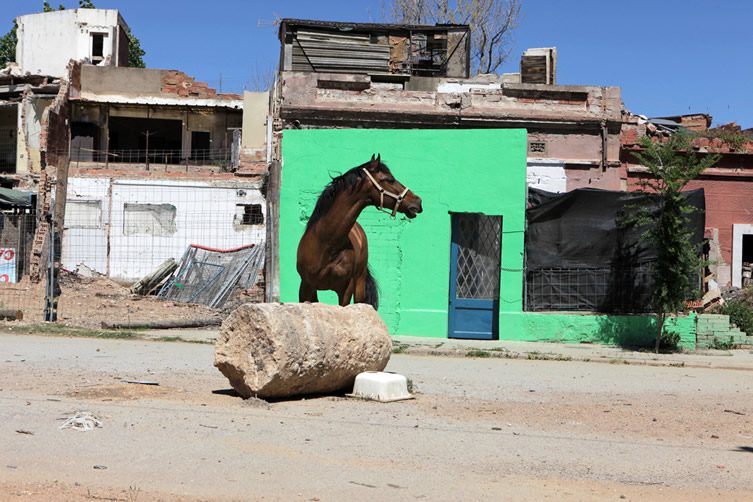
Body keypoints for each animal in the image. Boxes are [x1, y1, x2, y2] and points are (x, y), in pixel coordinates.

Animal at [296, 154, 424, 310]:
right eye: (389, 179)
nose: (418, 201)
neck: (326, 244)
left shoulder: (345, 289)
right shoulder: (306, 287)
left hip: (359, 284)